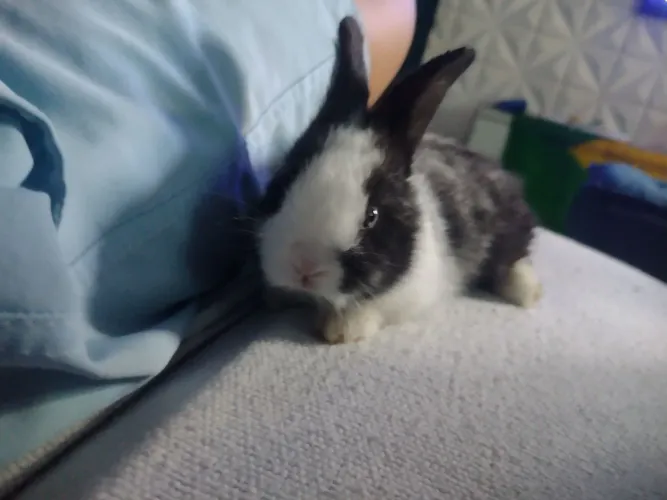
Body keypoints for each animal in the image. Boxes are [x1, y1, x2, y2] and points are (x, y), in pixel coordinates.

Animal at [254, 17, 542, 344]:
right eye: (282, 183)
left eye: (372, 216)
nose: (304, 266)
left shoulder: (414, 294)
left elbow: (374, 308)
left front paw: (342, 330)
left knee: (514, 258)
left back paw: (527, 293)